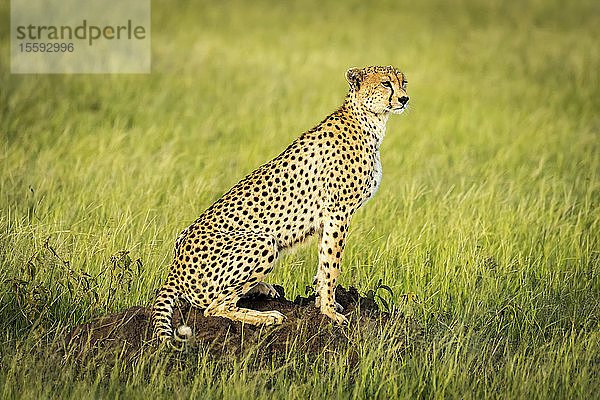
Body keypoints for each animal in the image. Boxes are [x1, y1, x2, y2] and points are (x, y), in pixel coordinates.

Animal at [152, 65, 410, 344]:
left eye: (403, 82)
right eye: (385, 83)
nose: (404, 98)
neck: (370, 120)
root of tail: (175, 267)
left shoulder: (328, 217)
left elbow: (323, 263)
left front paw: (323, 304)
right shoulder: (338, 211)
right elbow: (332, 265)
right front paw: (330, 312)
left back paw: (261, 289)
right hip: (263, 241)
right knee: (215, 306)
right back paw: (268, 316)